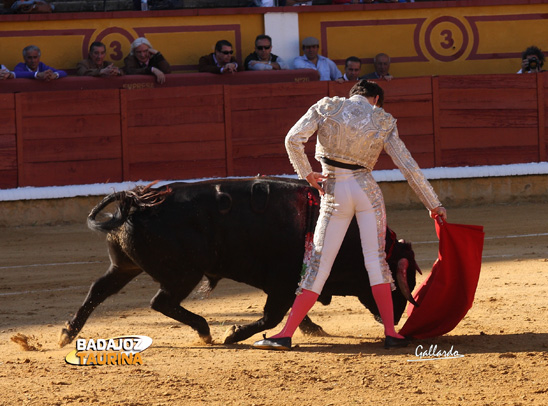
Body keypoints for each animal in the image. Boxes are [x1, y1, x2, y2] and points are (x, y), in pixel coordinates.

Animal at [58, 176, 420, 348]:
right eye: (399, 280)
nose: (397, 316)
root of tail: (136, 203)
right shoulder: (282, 282)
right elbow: (273, 314)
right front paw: (234, 334)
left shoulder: (290, 283)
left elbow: (294, 306)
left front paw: (311, 327)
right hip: (184, 274)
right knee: (160, 301)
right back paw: (205, 331)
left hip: (124, 266)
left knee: (98, 290)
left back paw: (66, 332)